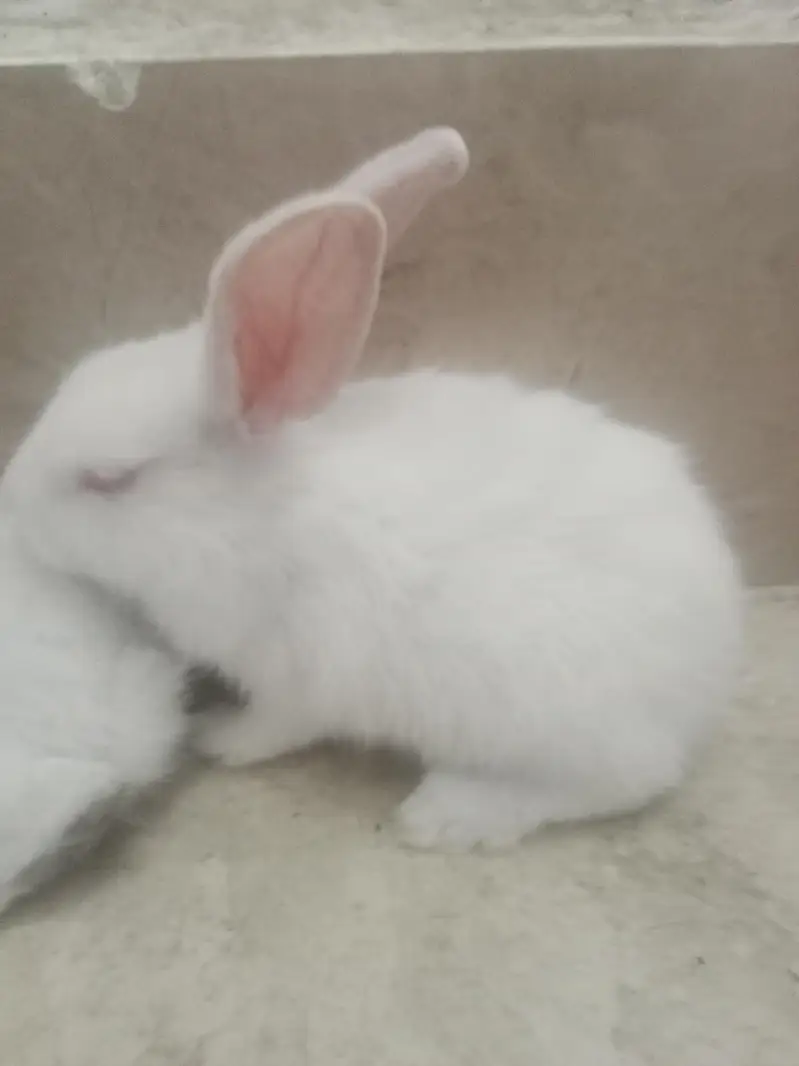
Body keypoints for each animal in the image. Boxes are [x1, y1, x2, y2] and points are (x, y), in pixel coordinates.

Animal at [0, 127, 742, 850]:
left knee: (626, 781)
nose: (12, 499)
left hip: (560, 718)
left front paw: (217, 739)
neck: (245, 519)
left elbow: (273, 728)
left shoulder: (295, 674)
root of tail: (711, 665)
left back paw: (450, 813)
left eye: (109, 478)